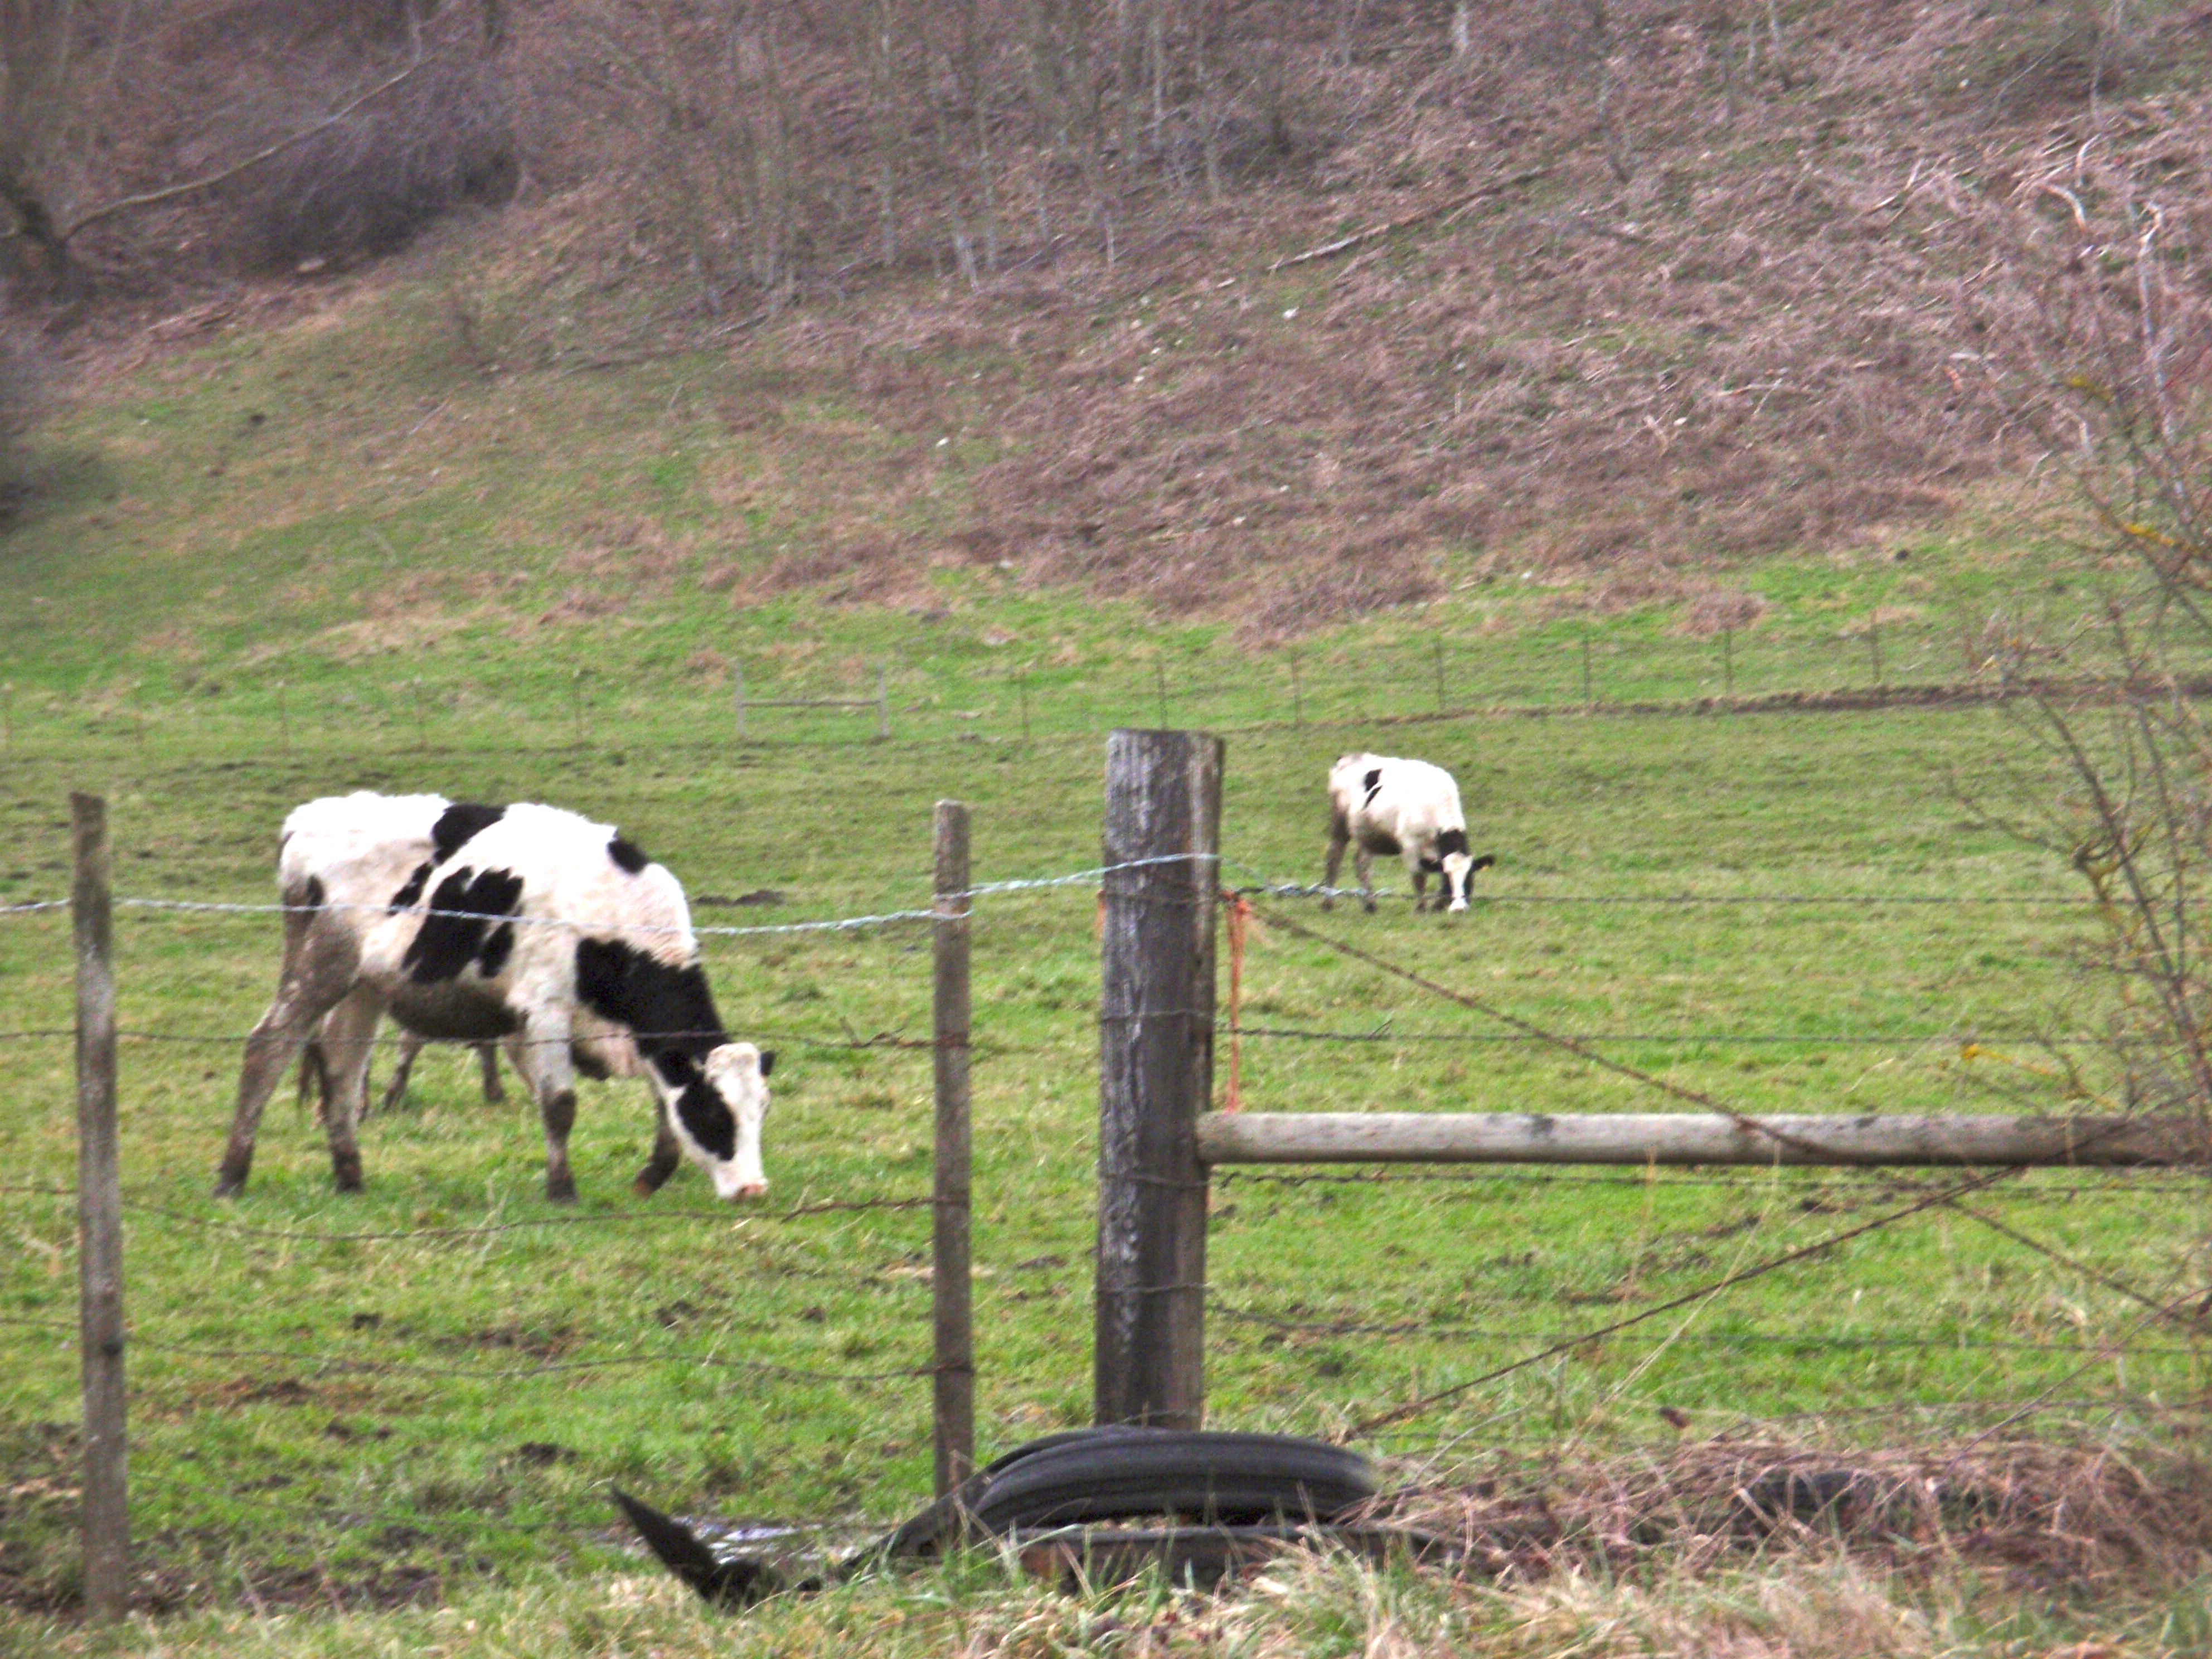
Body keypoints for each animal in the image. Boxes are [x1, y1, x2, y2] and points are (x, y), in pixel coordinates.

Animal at [215, 796, 769, 1203]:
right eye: (715, 1113)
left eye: (760, 1109)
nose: (752, 1189)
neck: (610, 915)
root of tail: (308, 819)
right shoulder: (545, 1011)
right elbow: (560, 1105)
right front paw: (562, 1189)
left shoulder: (641, 1033)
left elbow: (662, 1100)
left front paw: (654, 1172)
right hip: (321, 966)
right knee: (270, 1045)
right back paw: (233, 1175)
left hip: (364, 987)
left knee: (342, 1068)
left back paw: (349, 1175)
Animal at [1318, 756, 1495, 915]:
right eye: (1448, 878)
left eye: (1469, 878)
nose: (1459, 909)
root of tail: (1350, 759)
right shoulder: (1410, 846)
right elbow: (1419, 877)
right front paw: (1421, 909)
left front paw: (1438, 905)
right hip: (1339, 825)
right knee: (1334, 858)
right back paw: (1327, 903)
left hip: (1367, 834)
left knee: (1362, 864)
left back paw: (1370, 905)